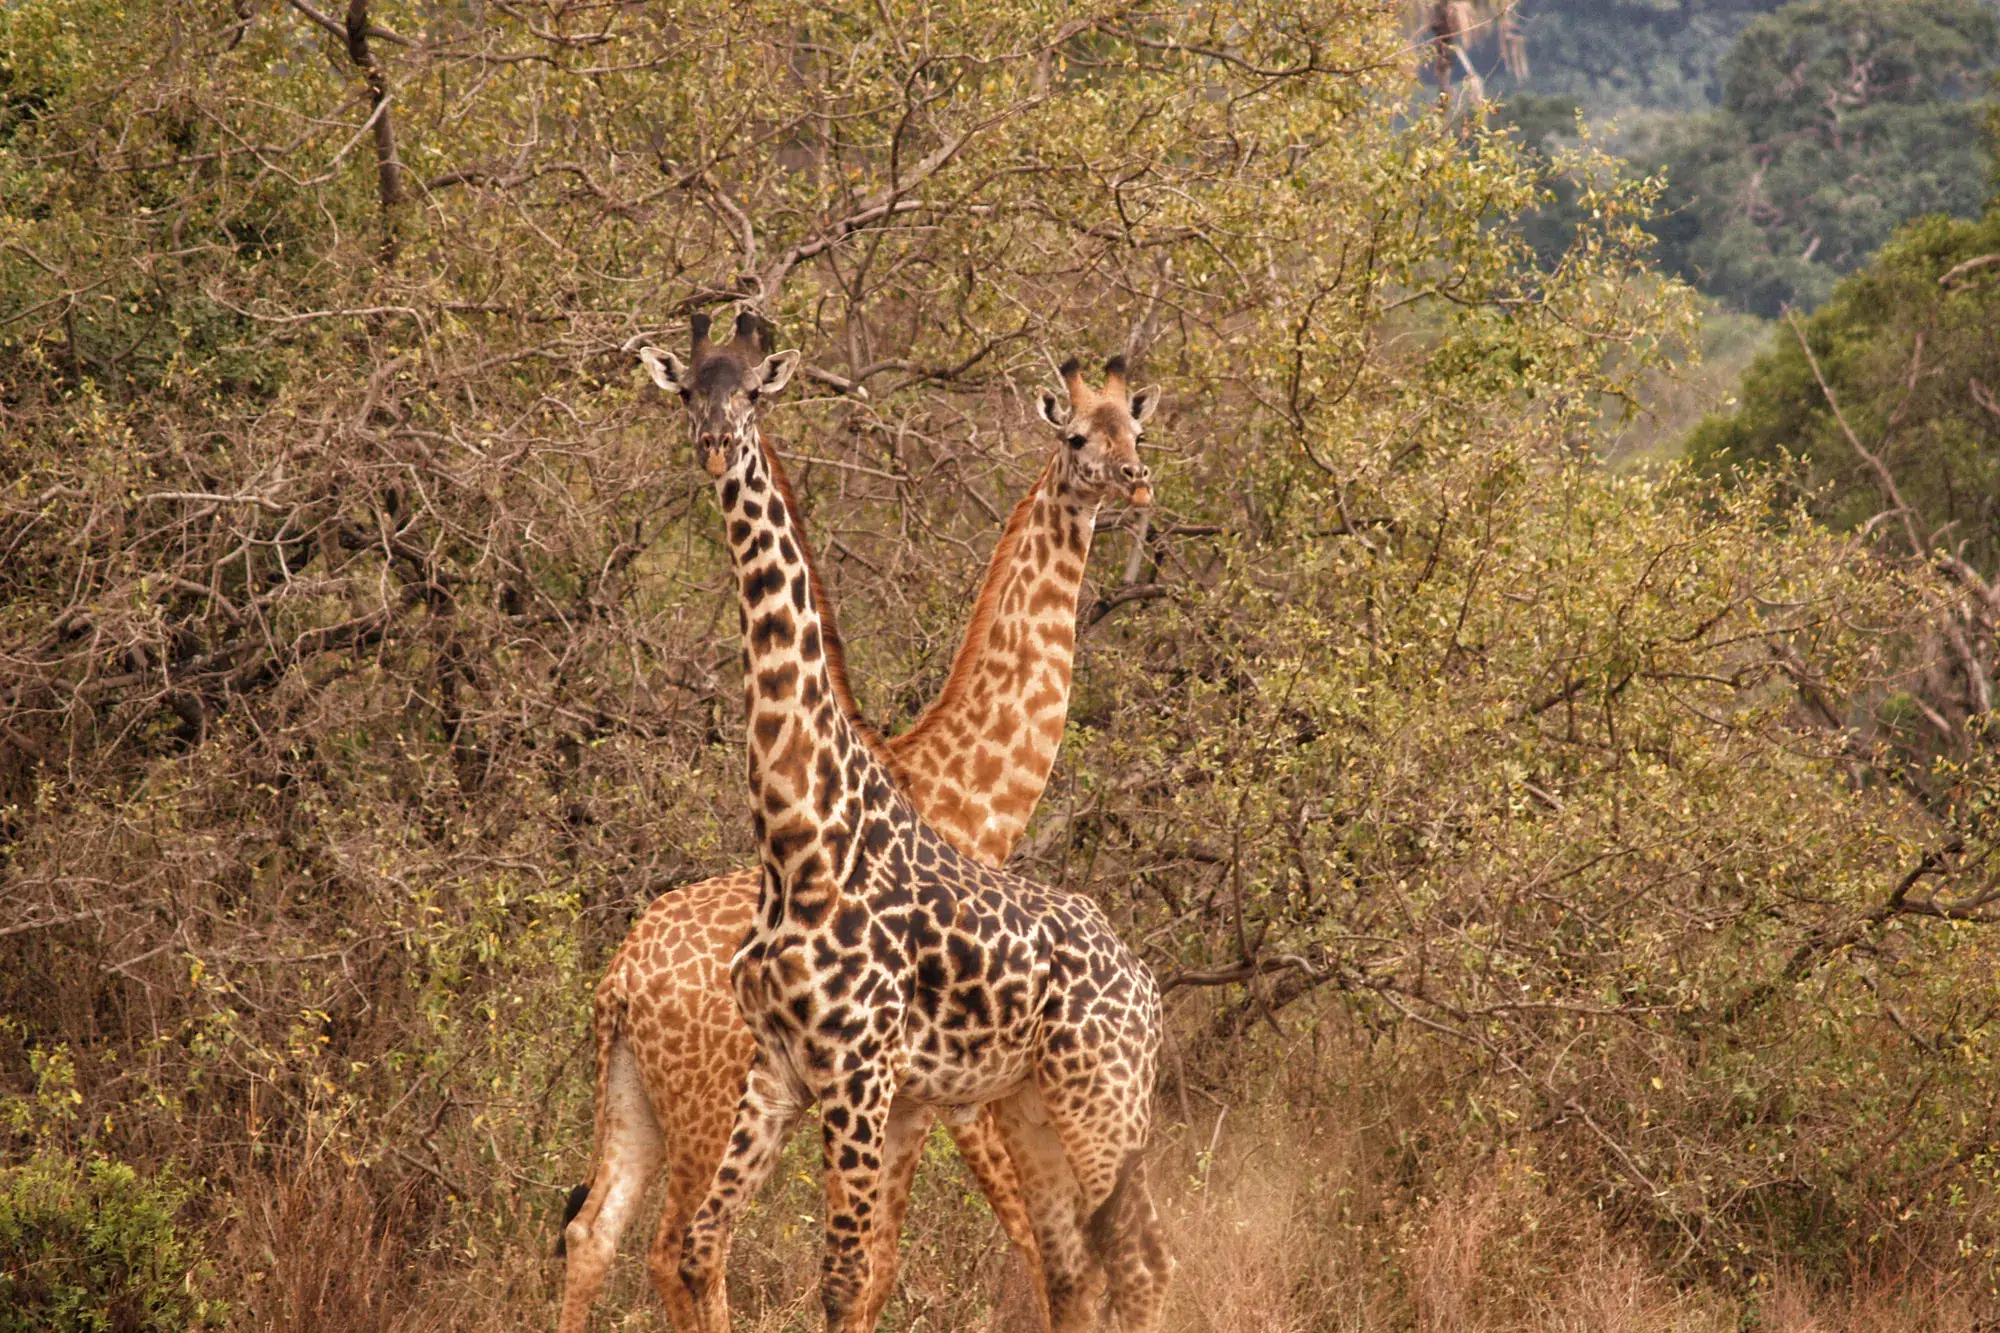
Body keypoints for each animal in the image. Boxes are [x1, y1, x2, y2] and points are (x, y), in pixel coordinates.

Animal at [556, 320, 1168, 1328]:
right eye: (1078, 435)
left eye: (1135, 431)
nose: (1135, 482)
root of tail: (618, 979)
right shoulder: (870, 1085)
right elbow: (868, 1270)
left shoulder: (904, 1090)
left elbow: (877, 1269)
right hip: (697, 1105)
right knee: (656, 1245)